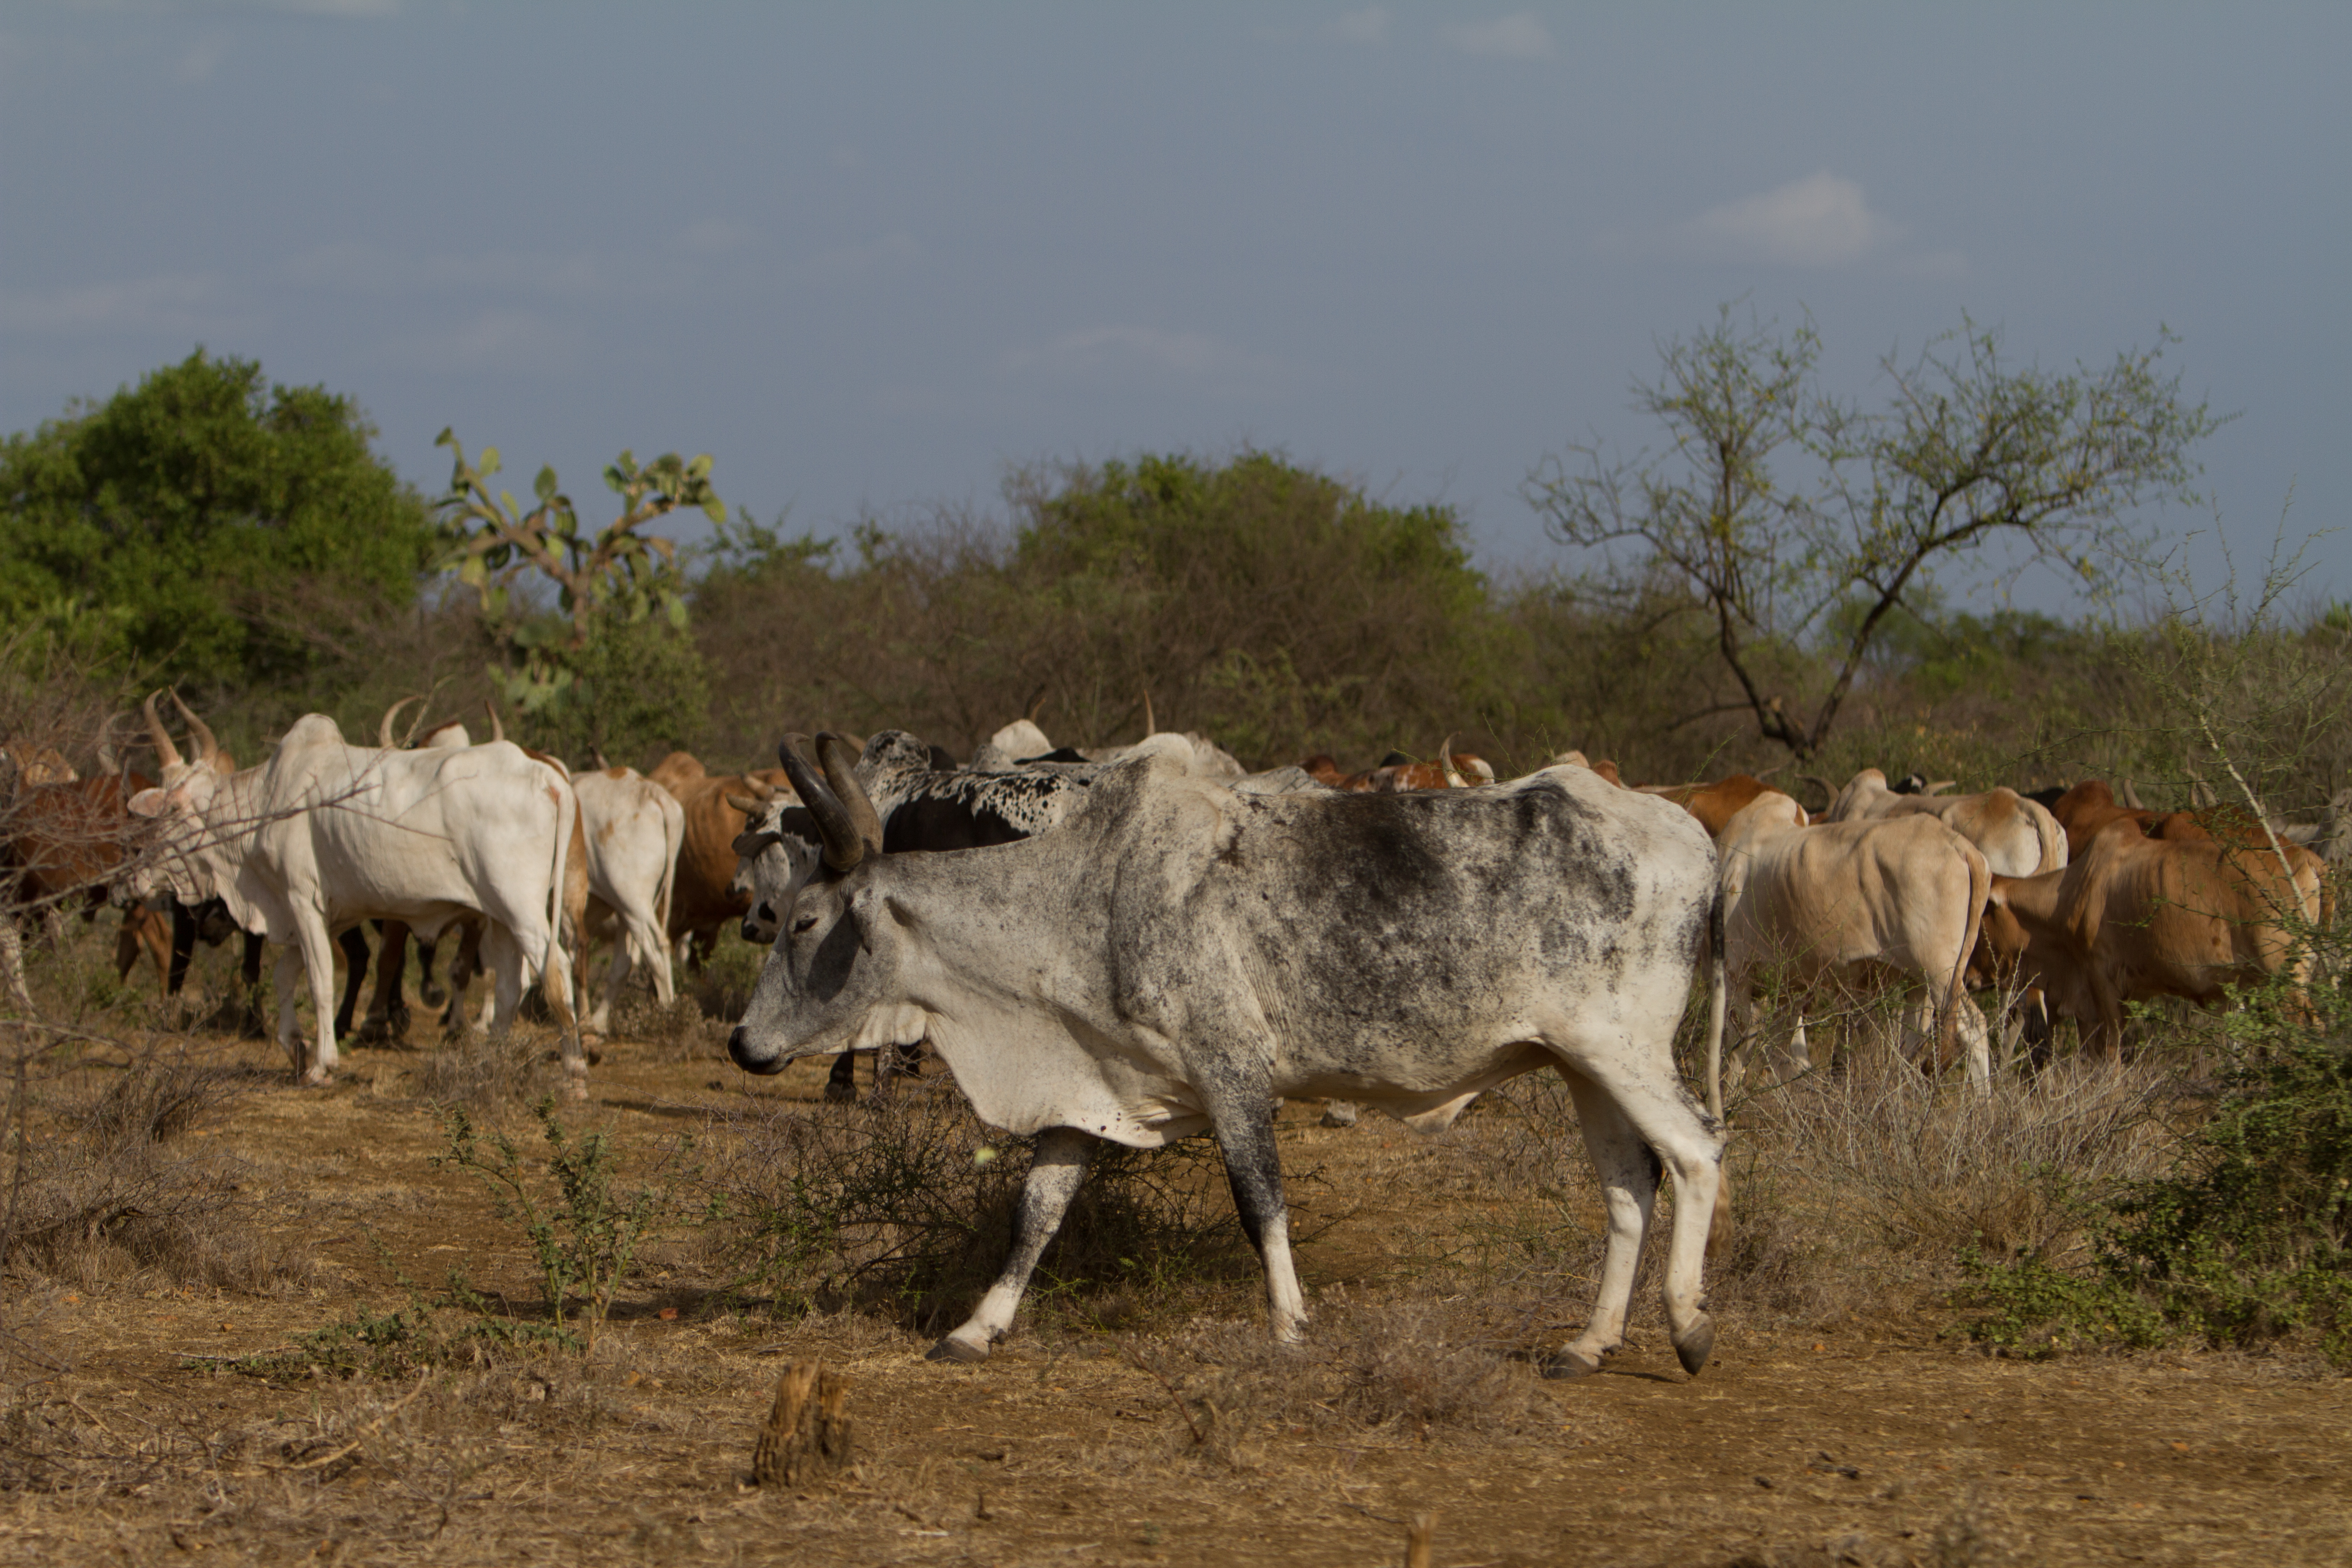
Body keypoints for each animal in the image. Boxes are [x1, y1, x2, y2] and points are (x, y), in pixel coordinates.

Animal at [119, 698, 584, 1091]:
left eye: (169, 813)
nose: (135, 878)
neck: (265, 802)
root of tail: (546, 776)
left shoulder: (301, 901)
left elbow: (320, 980)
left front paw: (322, 1065)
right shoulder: (330, 915)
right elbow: (284, 975)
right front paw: (296, 1047)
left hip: (521, 909)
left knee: (555, 968)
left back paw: (574, 1070)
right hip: (500, 916)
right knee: (509, 986)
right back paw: (492, 1063)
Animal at [729, 735, 1729, 1378]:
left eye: (806, 922)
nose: (742, 1043)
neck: (1083, 895)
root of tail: (1691, 838)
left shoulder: (1233, 1072)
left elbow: (1261, 1205)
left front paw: (1288, 1326)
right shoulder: (1087, 1091)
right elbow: (1036, 1213)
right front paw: (978, 1328)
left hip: (1624, 1053)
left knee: (1694, 1153)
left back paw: (1687, 1327)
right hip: (1579, 1066)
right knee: (1627, 1187)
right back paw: (1588, 1343)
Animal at [1714, 790, 1993, 1102]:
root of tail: (1960, 847)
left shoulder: (1736, 967)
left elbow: (1738, 1042)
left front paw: (1728, 1101)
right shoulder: (1793, 983)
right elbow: (1783, 1049)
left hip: (1940, 974)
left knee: (1971, 1027)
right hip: (1923, 980)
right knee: (1919, 1040)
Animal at [1983, 818, 2327, 1062]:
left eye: (1986, 909)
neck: (2075, 891)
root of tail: (2307, 858)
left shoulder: (2102, 983)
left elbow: (2109, 1055)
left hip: (2287, 986)